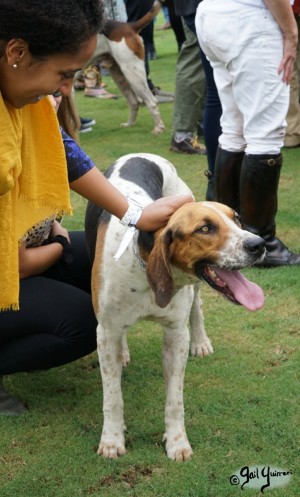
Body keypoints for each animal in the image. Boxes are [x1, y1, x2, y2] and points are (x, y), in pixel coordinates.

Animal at [84, 154, 264, 462]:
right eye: (205, 228)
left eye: (236, 218)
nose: (259, 244)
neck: (143, 269)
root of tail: (142, 155)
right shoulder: (105, 333)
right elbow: (113, 396)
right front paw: (112, 439)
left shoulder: (176, 335)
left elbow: (175, 400)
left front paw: (177, 441)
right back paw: (123, 353)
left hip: (195, 292)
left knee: (197, 309)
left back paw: (201, 342)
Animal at [92, 1, 165, 134]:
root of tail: (129, 26)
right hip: (120, 76)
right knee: (134, 102)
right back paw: (129, 124)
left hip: (133, 76)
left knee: (151, 102)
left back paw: (158, 128)